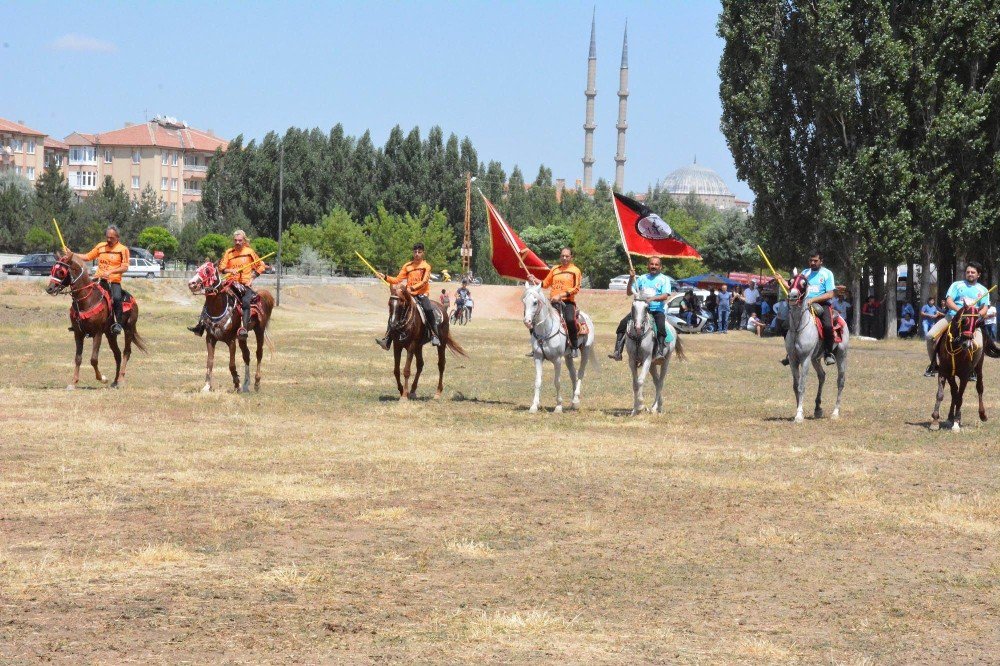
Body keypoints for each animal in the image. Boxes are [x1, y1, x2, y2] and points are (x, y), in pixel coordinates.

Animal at [47, 250, 146, 390]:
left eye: (61, 272)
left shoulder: (97, 333)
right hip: (110, 334)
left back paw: (121, 380)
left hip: (129, 329)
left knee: (126, 352)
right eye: (52, 269)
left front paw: (102, 378)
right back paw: (115, 381)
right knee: (117, 354)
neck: (86, 300)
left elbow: (93, 359)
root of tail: (132, 298)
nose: (49, 288)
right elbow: (78, 358)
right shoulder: (78, 333)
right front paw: (73, 382)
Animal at [187, 260, 274, 394]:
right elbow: (210, 362)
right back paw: (246, 384)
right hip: (242, 337)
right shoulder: (210, 339)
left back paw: (256, 383)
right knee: (246, 355)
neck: (218, 309)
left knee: (259, 353)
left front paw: (236, 384)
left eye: (208, 270)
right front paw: (207, 386)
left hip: (259, 330)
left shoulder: (231, 341)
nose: (192, 283)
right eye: (197, 269)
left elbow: (231, 364)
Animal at [524, 282, 592, 416]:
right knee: (573, 374)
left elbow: (557, 382)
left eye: (535, 302)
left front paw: (558, 406)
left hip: (585, 350)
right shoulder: (538, 358)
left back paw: (576, 400)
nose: (527, 321)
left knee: (580, 373)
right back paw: (572, 402)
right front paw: (534, 406)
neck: (545, 330)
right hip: (568, 356)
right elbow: (537, 381)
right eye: (523, 301)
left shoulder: (557, 360)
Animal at [784, 274, 848, 420]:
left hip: (841, 355)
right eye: (790, 282)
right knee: (822, 376)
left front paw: (799, 415)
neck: (798, 328)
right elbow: (795, 386)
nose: (793, 296)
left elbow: (802, 386)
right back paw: (818, 408)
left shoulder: (805, 359)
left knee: (840, 381)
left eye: (804, 283)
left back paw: (835, 412)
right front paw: (798, 410)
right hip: (816, 359)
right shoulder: (793, 360)